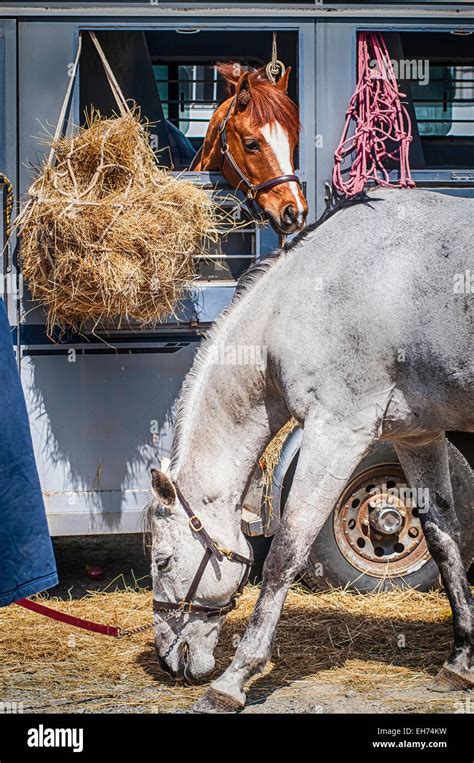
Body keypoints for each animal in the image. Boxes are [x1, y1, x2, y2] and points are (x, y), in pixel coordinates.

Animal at [147, 188, 470, 712]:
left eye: (163, 561)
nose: (167, 660)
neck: (303, 301)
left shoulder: (336, 434)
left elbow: (285, 554)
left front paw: (233, 680)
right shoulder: (417, 437)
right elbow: (444, 542)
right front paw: (459, 662)